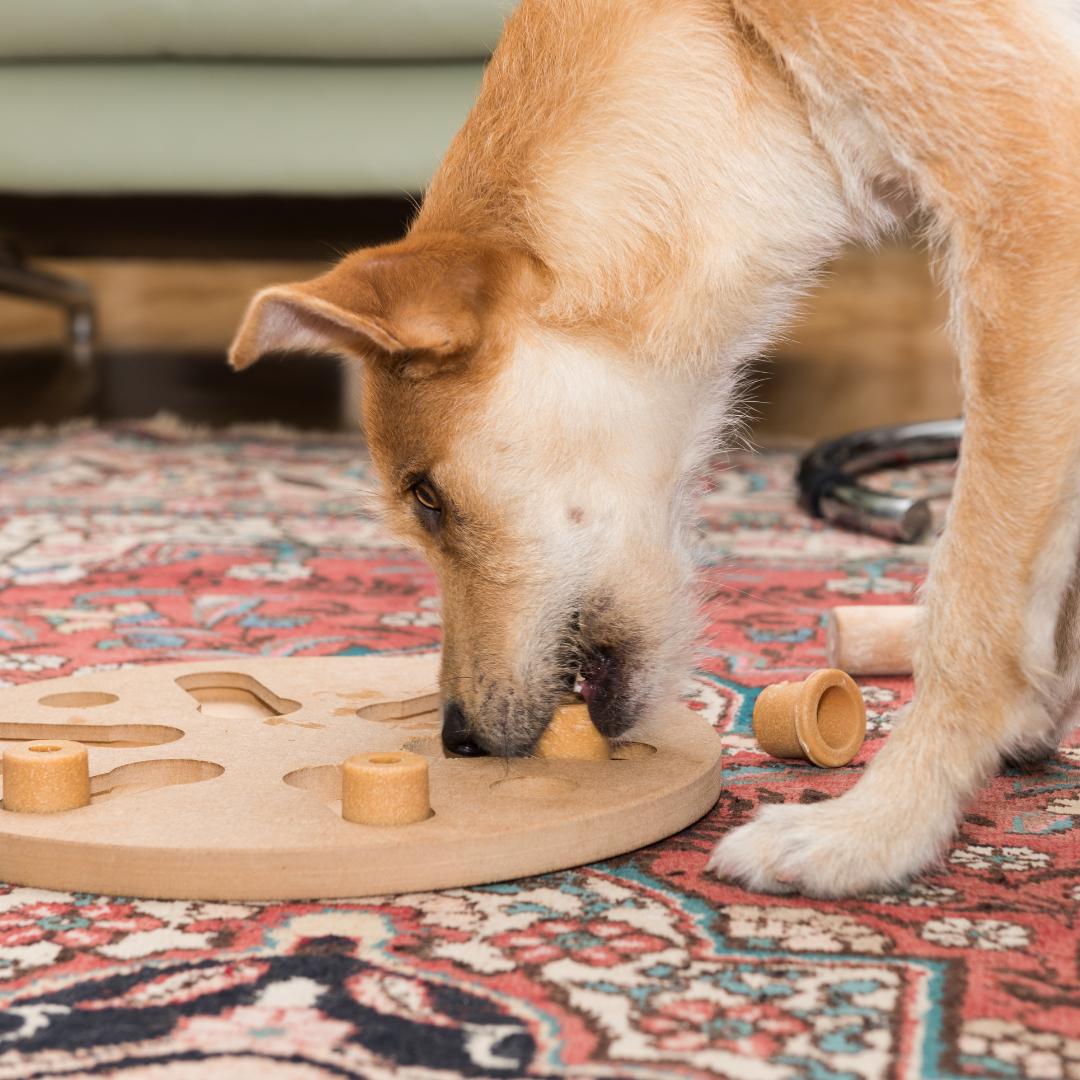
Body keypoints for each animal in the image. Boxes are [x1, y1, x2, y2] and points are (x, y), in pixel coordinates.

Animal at [227, 0, 1080, 894]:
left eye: (428, 496)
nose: (457, 737)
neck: (729, 43)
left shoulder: (1029, 204)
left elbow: (968, 617)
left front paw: (880, 828)